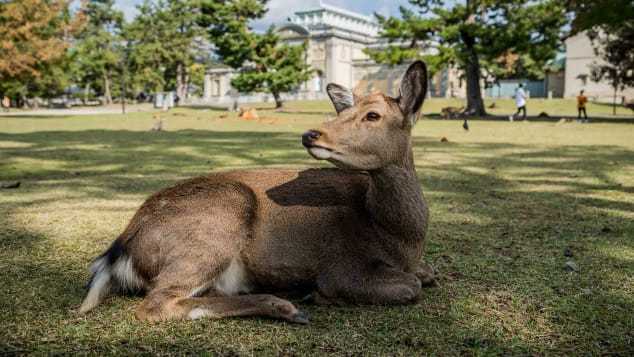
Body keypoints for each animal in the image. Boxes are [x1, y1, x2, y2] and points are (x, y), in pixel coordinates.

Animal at [79, 61, 434, 322]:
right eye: (342, 112)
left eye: (373, 115)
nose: (311, 134)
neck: (401, 239)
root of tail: (118, 252)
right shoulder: (342, 266)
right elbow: (412, 286)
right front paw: (321, 295)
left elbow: (427, 273)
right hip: (221, 218)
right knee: (157, 304)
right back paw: (286, 306)